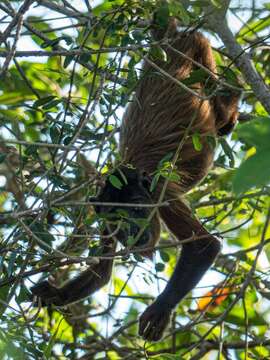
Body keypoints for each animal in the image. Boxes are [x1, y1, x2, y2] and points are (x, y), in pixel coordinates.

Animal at [30, 21, 239, 342]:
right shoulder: (100, 205)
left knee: (219, 95)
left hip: (198, 51)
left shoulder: (161, 191)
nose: (131, 233)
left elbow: (204, 246)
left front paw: (159, 311)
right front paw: (55, 294)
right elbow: (102, 271)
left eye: (138, 210)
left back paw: (231, 102)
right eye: (117, 221)